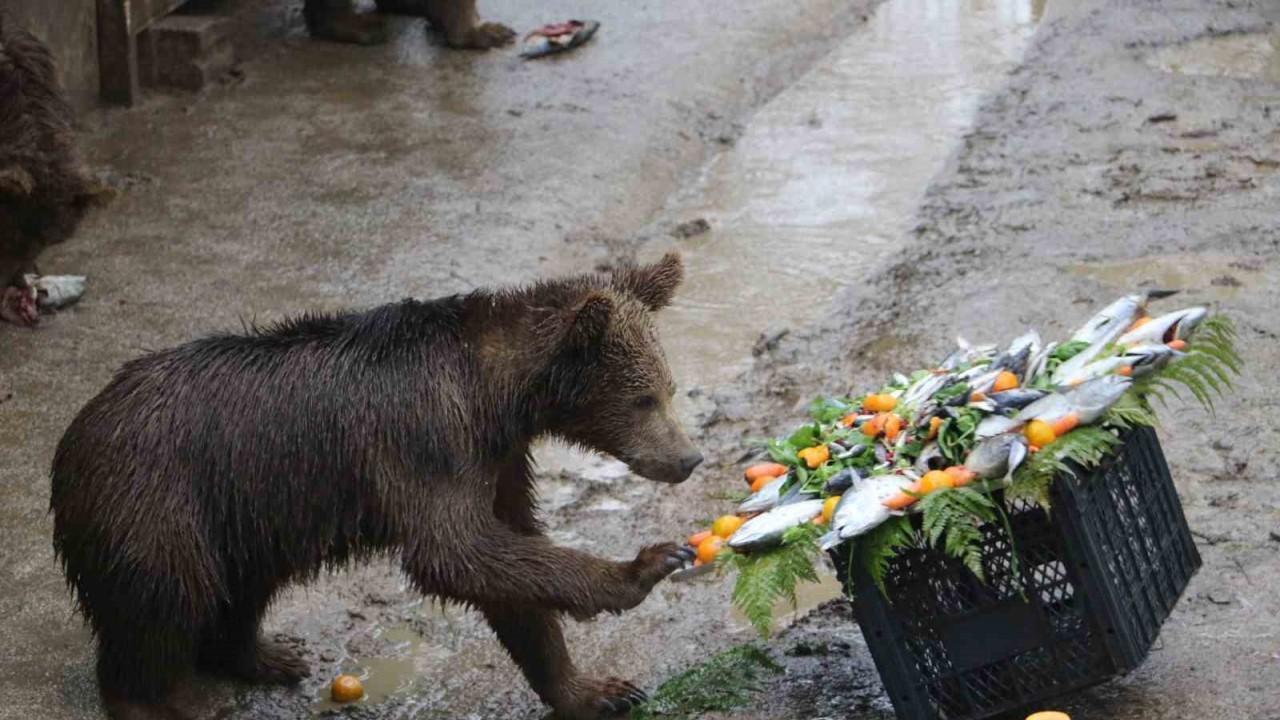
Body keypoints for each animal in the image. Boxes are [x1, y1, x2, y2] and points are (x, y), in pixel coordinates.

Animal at [49, 252, 706, 717]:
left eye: (669, 389)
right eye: (644, 398)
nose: (689, 458)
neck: (495, 394)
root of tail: (76, 432)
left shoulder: (496, 460)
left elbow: (510, 565)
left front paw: (598, 689)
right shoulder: (426, 441)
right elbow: (457, 552)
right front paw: (646, 566)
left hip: (248, 508)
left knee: (244, 584)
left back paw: (269, 654)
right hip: (157, 500)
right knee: (164, 599)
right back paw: (150, 699)